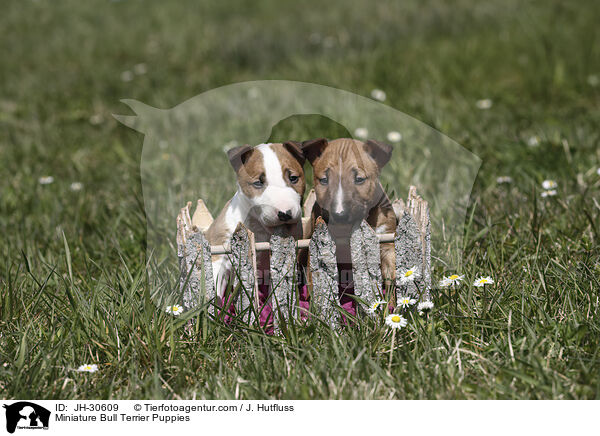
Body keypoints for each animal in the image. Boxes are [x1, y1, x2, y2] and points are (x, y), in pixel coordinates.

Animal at [302, 138, 396, 308]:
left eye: (359, 179)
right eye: (324, 180)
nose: (339, 215)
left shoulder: (386, 244)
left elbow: (390, 279)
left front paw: (391, 306)